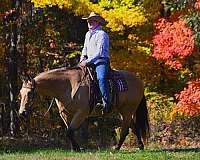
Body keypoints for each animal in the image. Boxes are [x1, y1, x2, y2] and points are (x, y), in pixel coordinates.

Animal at [18, 67, 149, 152]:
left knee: (125, 130)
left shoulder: (81, 113)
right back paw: (140, 147)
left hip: (128, 110)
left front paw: (78, 148)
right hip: (123, 111)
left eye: (29, 93)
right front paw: (75, 148)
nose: (22, 113)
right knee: (134, 128)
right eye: (21, 92)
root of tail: (139, 81)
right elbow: (69, 131)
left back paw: (116, 148)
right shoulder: (65, 114)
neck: (68, 86)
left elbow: (70, 131)